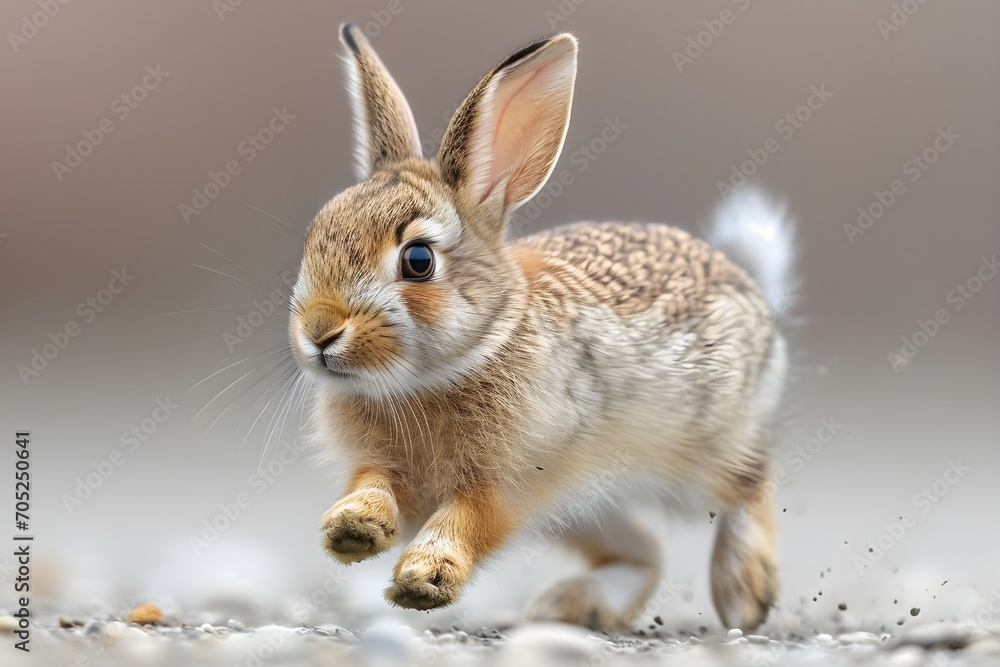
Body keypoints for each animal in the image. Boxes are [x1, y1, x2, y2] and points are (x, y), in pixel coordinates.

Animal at [288, 22, 794, 632]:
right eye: (315, 236)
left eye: (418, 261)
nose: (319, 332)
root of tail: (749, 282)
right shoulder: (381, 466)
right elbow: (374, 490)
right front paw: (352, 528)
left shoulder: (510, 479)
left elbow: (468, 519)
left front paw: (425, 579)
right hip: (589, 505)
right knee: (643, 549)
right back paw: (572, 605)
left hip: (700, 448)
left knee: (750, 480)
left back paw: (745, 591)